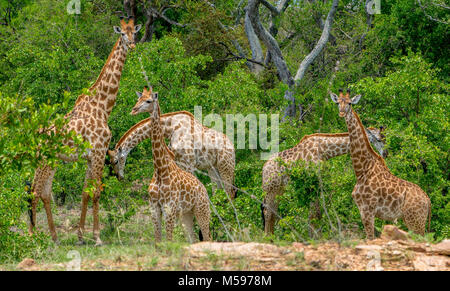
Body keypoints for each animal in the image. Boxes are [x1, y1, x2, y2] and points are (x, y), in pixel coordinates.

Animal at [29, 17, 142, 246]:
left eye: (134, 33)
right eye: (122, 34)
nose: (132, 45)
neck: (103, 106)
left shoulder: (91, 156)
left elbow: (85, 192)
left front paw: (81, 237)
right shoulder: (99, 152)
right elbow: (97, 192)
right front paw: (97, 237)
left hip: (51, 161)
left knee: (43, 192)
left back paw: (54, 238)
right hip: (44, 161)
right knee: (35, 191)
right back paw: (33, 237)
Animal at [107, 110, 237, 200]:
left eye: (115, 161)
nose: (119, 177)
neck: (170, 128)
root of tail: (233, 148)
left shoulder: (189, 163)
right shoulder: (179, 162)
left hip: (226, 167)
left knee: (230, 192)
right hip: (213, 168)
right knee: (219, 192)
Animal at [130, 87, 211, 244]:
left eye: (148, 101)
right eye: (138, 99)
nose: (134, 110)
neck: (160, 169)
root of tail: (204, 189)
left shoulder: (169, 208)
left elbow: (169, 240)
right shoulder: (154, 208)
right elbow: (158, 242)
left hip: (202, 210)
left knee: (208, 238)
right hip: (186, 214)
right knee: (193, 239)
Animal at [330, 89, 432, 240]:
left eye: (349, 103)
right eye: (337, 103)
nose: (342, 113)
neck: (362, 169)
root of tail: (428, 200)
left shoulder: (367, 210)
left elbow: (370, 238)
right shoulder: (364, 210)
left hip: (415, 220)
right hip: (414, 220)